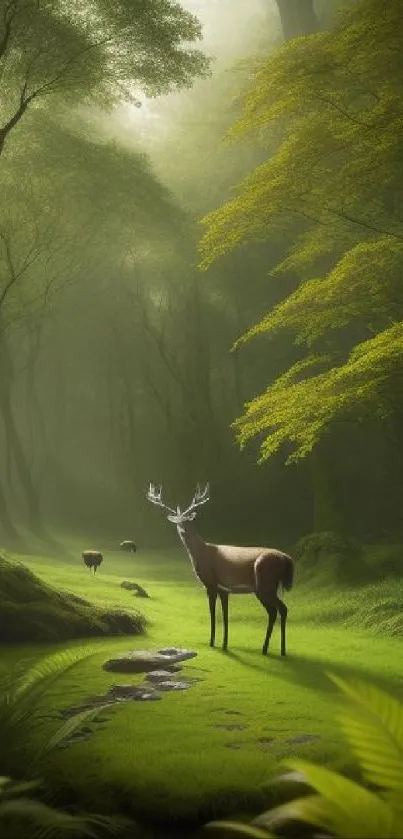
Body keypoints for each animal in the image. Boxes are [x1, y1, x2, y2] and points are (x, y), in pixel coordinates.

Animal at [147, 486, 296, 656]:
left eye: (188, 520)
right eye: (178, 521)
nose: (183, 530)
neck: (200, 553)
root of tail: (286, 558)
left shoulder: (210, 583)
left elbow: (212, 613)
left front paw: (211, 642)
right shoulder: (224, 588)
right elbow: (225, 615)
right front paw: (225, 644)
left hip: (264, 584)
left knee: (273, 611)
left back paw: (265, 648)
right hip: (273, 586)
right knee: (283, 609)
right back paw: (282, 650)